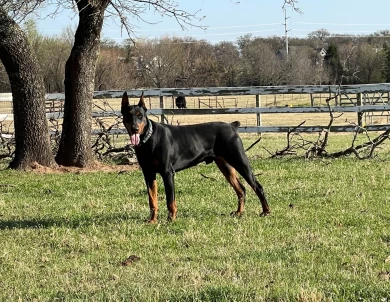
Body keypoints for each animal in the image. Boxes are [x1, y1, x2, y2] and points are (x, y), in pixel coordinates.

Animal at [120, 91, 270, 222]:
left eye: (140, 115)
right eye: (128, 115)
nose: (135, 128)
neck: (149, 138)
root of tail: (232, 126)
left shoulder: (167, 172)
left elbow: (170, 200)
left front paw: (171, 219)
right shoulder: (148, 173)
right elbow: (152, 200)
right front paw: (152, 220)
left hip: (240, 160)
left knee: (257, 186)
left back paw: (266, 211)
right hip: (225, 165)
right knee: (241, 189)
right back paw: (239, 212)